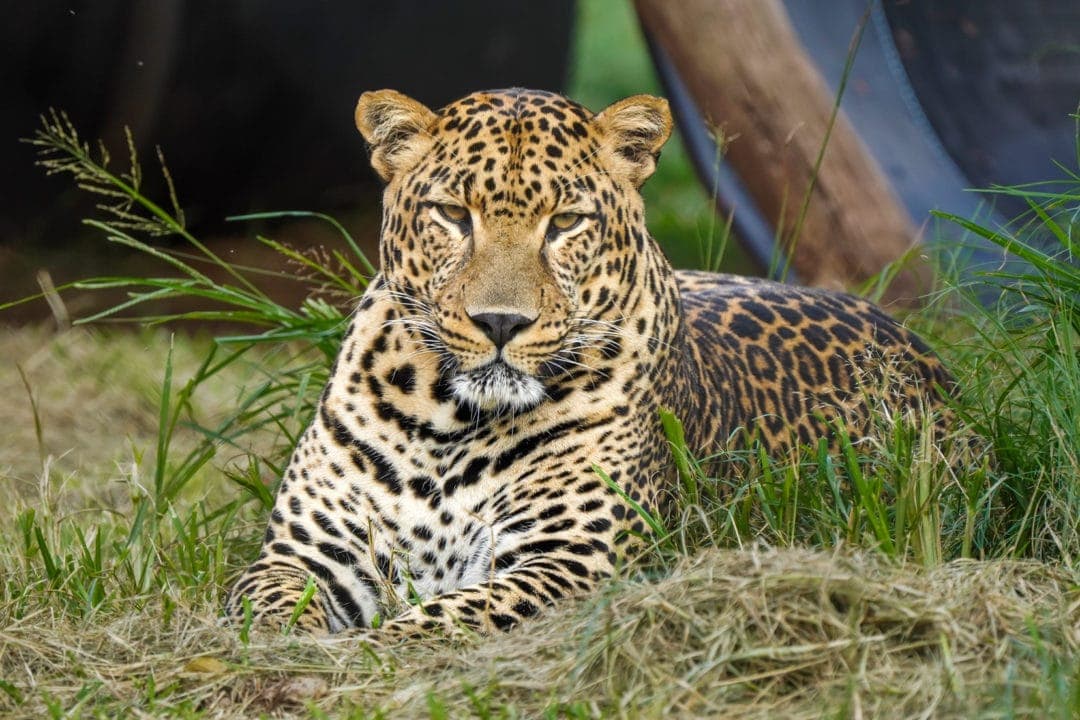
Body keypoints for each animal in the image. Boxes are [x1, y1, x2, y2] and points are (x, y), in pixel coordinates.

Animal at [223, 87, 950, 639]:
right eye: (453, 214)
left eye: (565, 222)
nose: (500, 322)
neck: (450, 419)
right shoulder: (306, 554)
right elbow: (266, 608)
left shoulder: (570, 562)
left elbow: (442, 619)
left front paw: (363, 653)